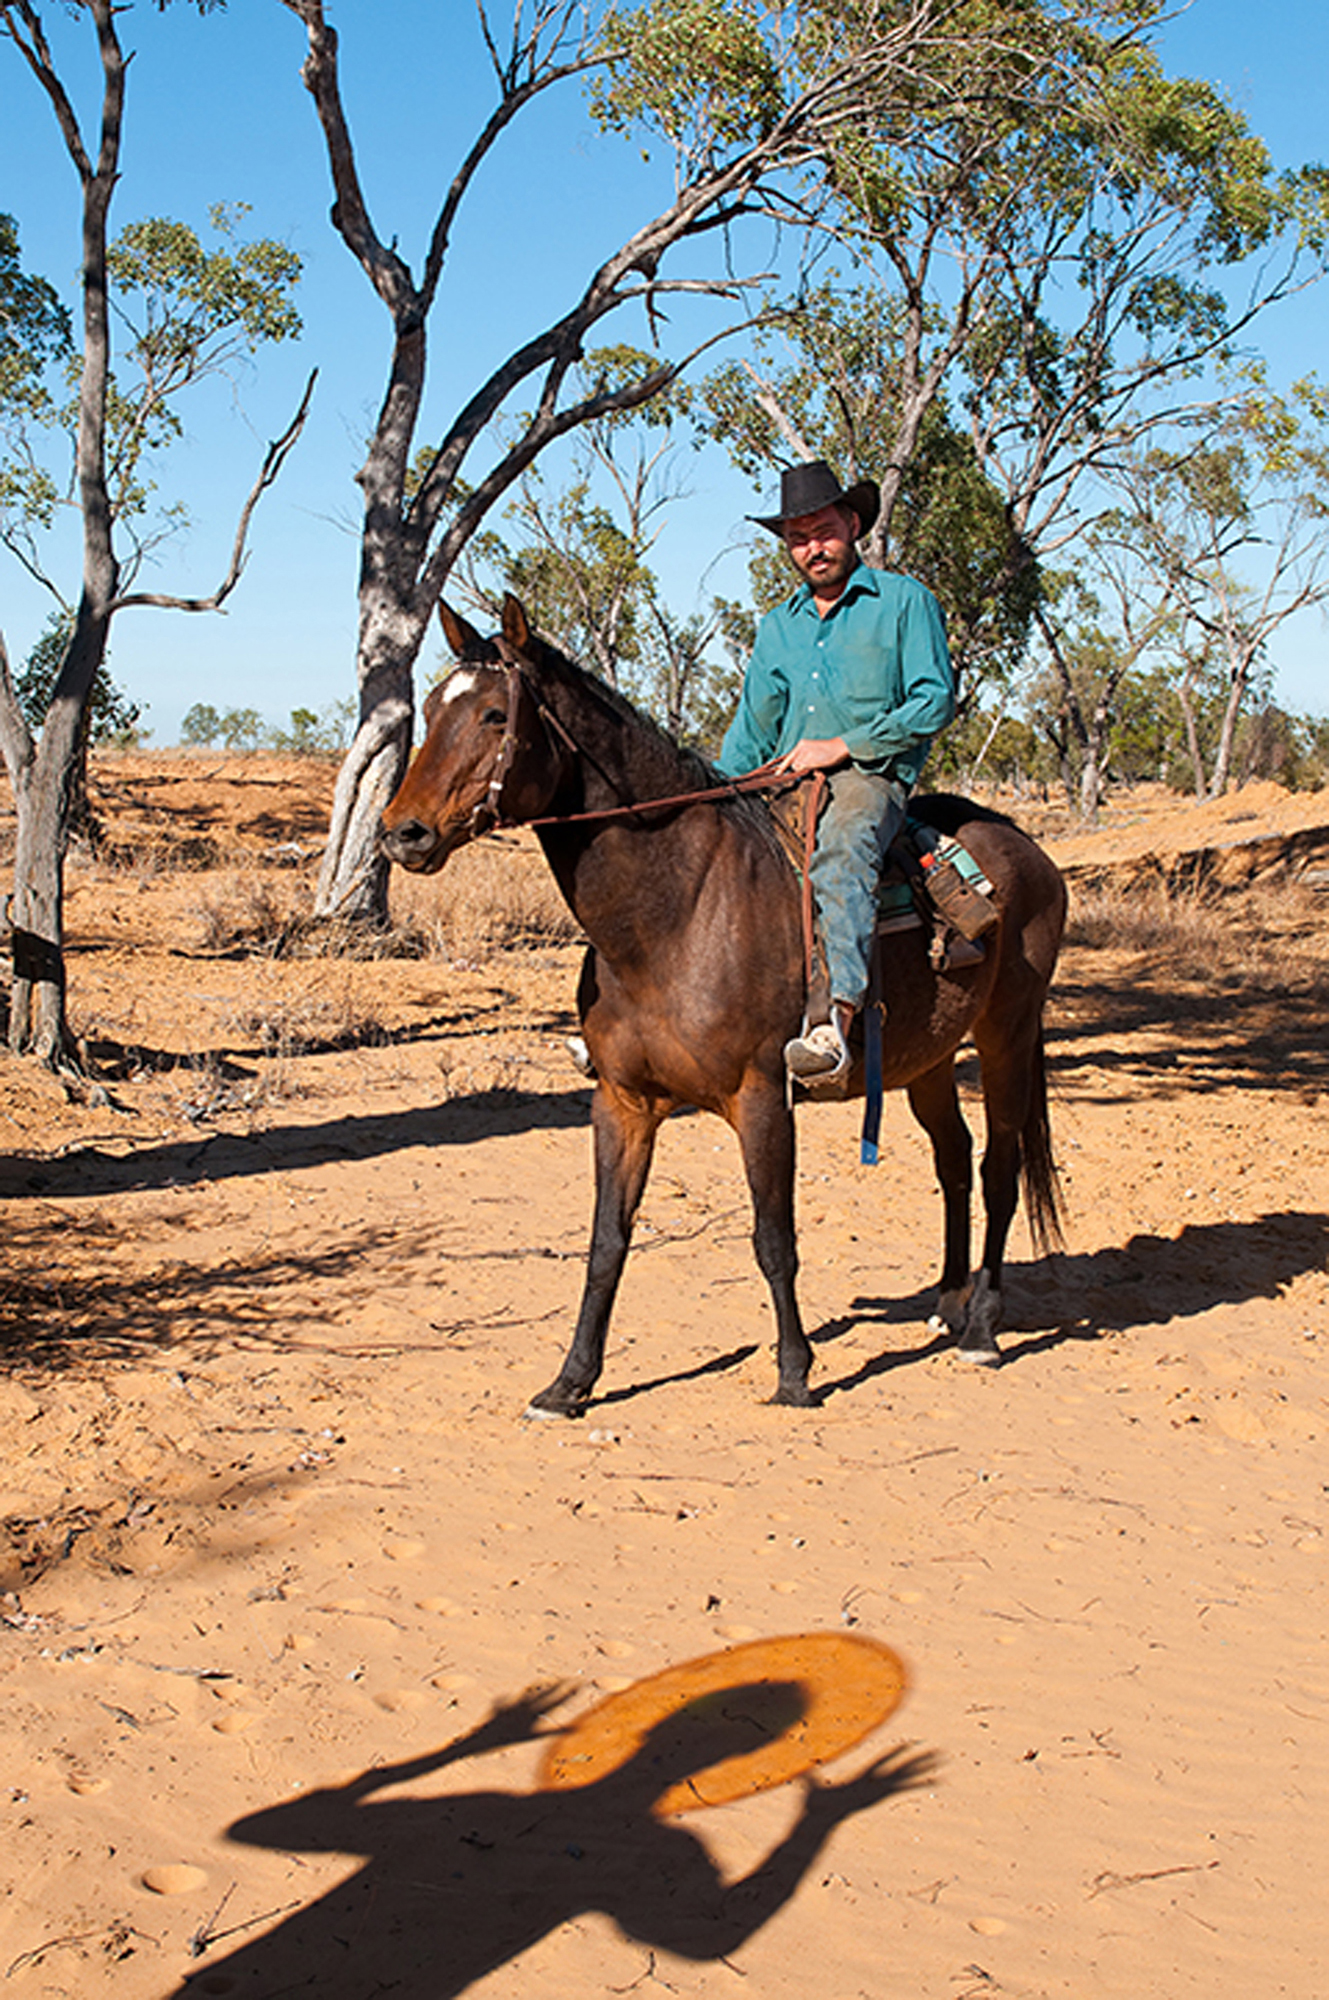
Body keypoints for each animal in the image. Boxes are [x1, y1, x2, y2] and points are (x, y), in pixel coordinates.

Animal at [378, 600, 1064, 1416]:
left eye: (491, 714)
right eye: (427, 711)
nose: (400, 832)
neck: (672, 914)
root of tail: (1028, 850)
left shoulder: (762, 1098)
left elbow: (773, 1240)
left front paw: (795, 1373)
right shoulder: (622, 1102)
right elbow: (606, 1242)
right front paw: (570, 1382)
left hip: (1005, 1036)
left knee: (998, 1167)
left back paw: (983, 1329)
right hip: (924, 1058)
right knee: (954, 1160)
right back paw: (949, 1302)